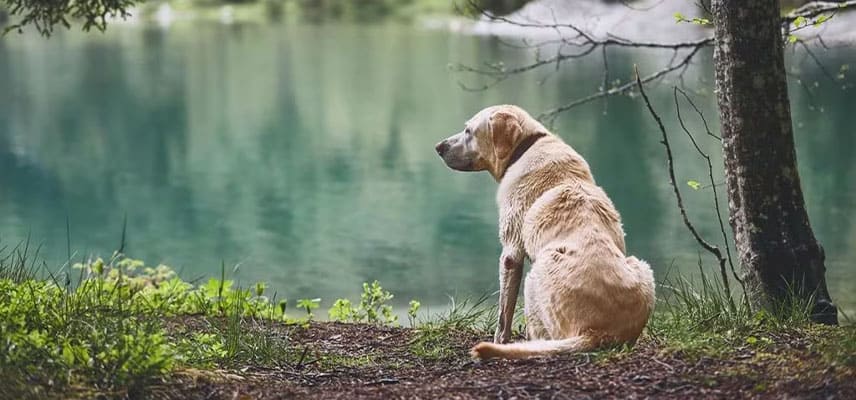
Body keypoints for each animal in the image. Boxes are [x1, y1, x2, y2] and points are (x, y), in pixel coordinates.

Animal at [434, 104, 656, 360]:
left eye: (468, 131)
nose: (438, 147)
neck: (525, 147)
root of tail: (597, 332)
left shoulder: (510, 253)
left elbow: (504, 313)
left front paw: (501, 339)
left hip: (535, 275)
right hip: (642, 267)